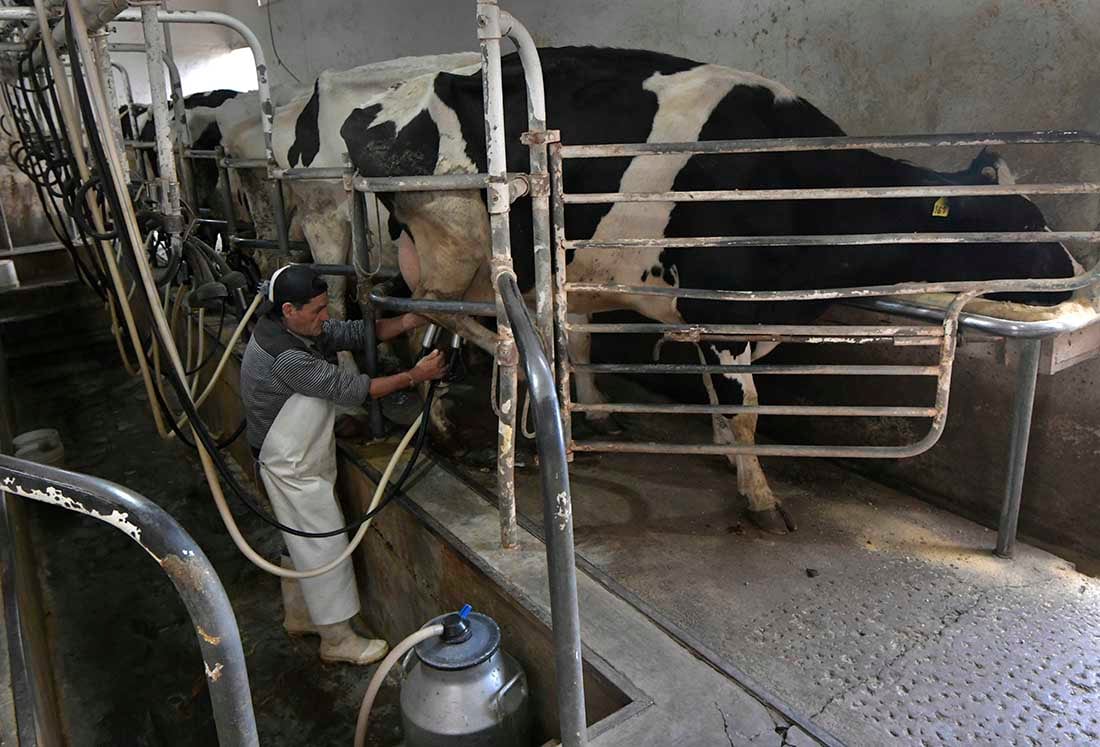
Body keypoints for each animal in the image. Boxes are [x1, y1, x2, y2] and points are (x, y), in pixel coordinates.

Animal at [325, 46, 1073, 534]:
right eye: (1019, 223)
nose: (1070, 272)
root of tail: (396, 96)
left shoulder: (726, 316)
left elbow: (723, 397)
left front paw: (725, 454)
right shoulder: (721, 305)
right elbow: (747, 409)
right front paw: (759, 495)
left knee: (434, 331)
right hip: (451, 241)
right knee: (434, 315)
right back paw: (512, 392)